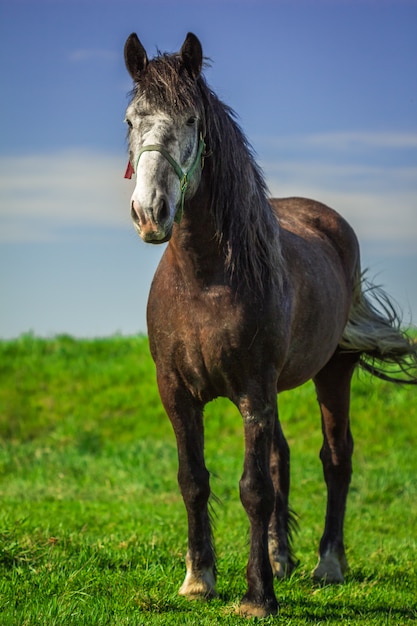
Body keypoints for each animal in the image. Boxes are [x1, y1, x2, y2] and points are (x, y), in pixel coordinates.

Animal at [122, 33, 414, 616]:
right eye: (130, 120)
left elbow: (253, 489)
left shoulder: (254, 391)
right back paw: (283, 558)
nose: (151, 212)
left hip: (333, 373)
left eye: (191, 120)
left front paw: (258, 596)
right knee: (283, 458)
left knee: (336, 459)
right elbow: (194, 480)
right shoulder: (176, 393)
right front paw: (199, 578)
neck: (204, 281)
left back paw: (328, 564)